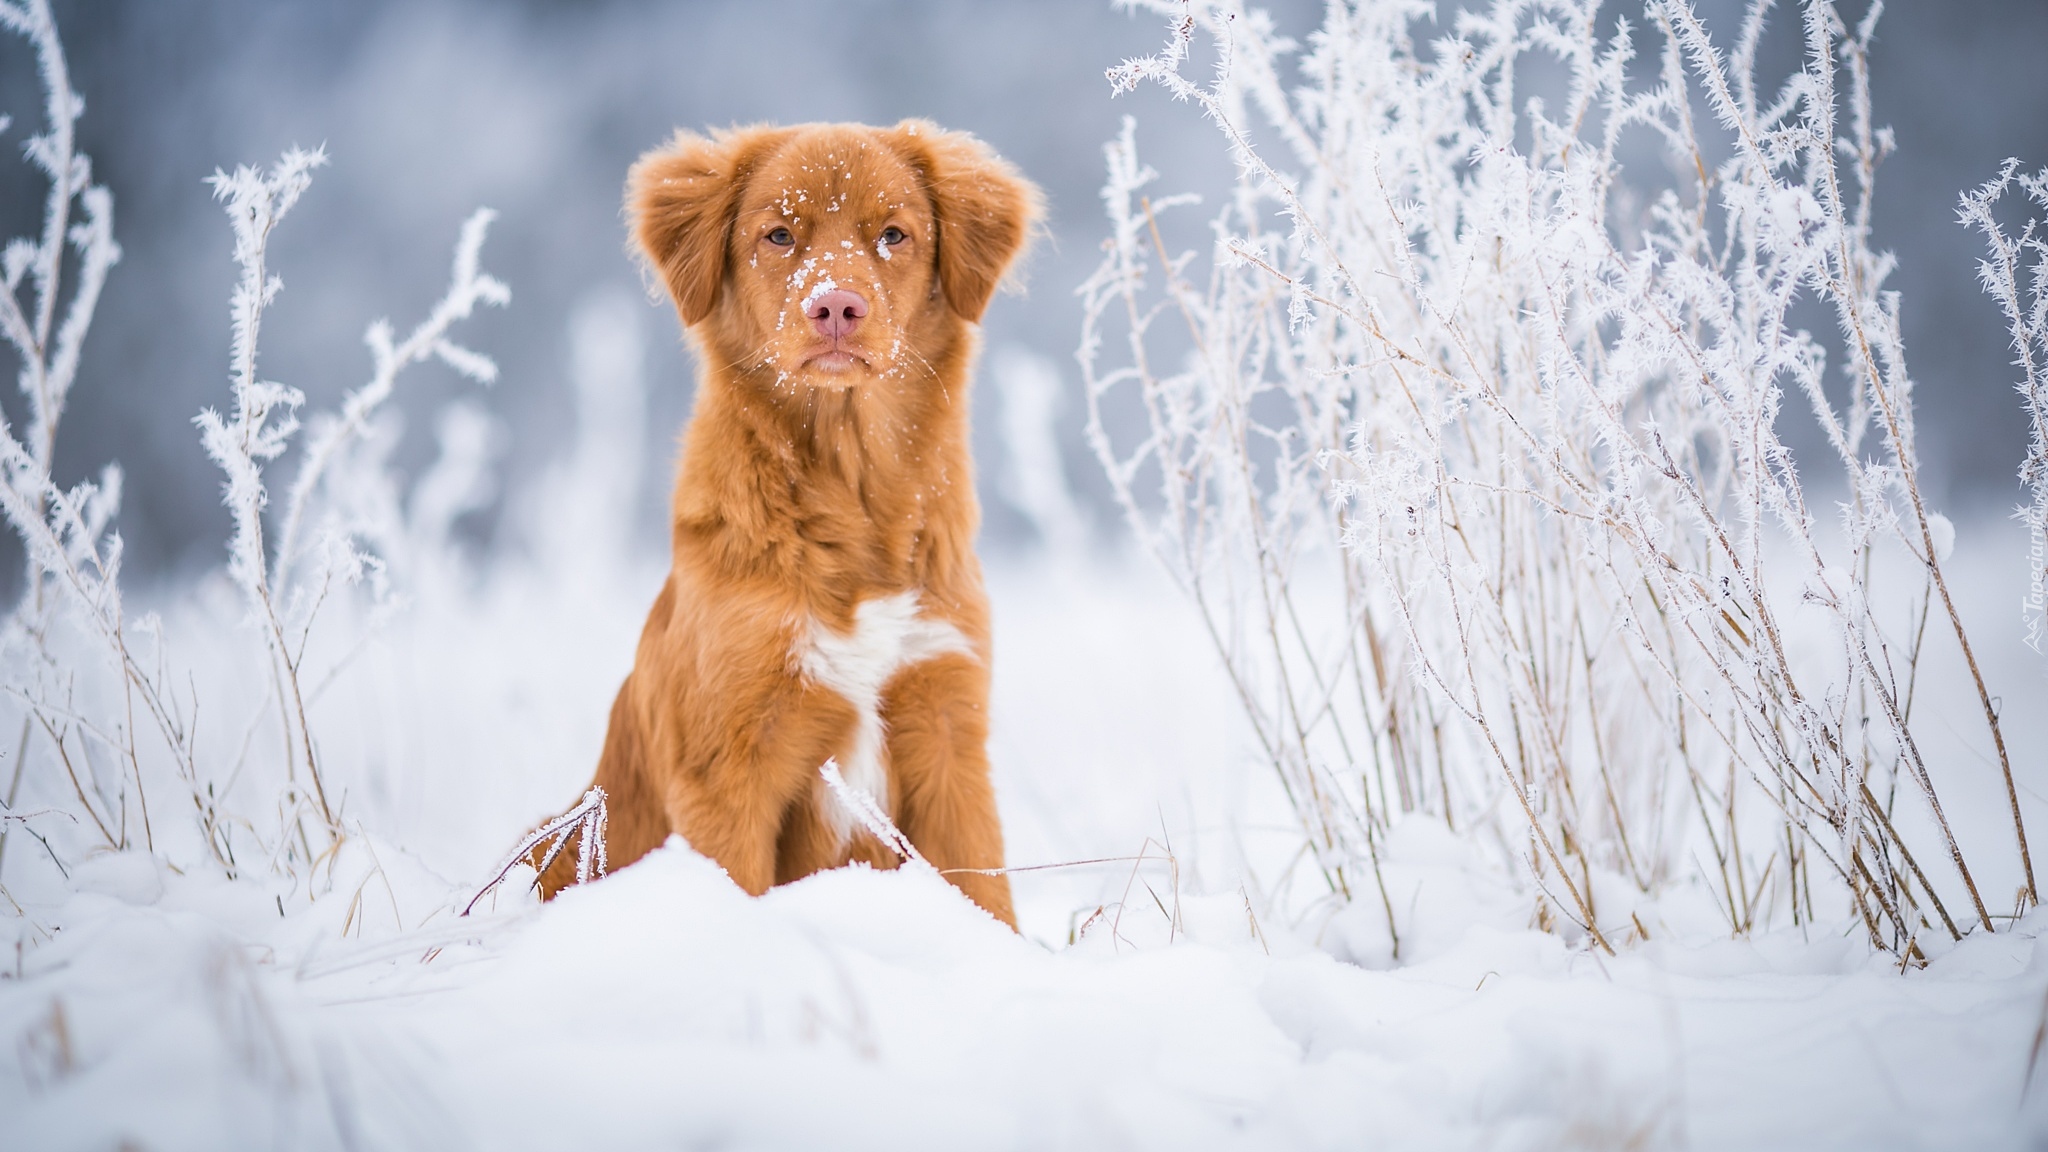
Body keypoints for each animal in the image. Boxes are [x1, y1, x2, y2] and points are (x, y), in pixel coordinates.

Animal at [528, 118, 1040, 922]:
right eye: (777, 235)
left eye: (894, 234)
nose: (834, 306)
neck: (851, 489)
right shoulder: (729, 766)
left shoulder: (949, 732)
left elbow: (985, 896)